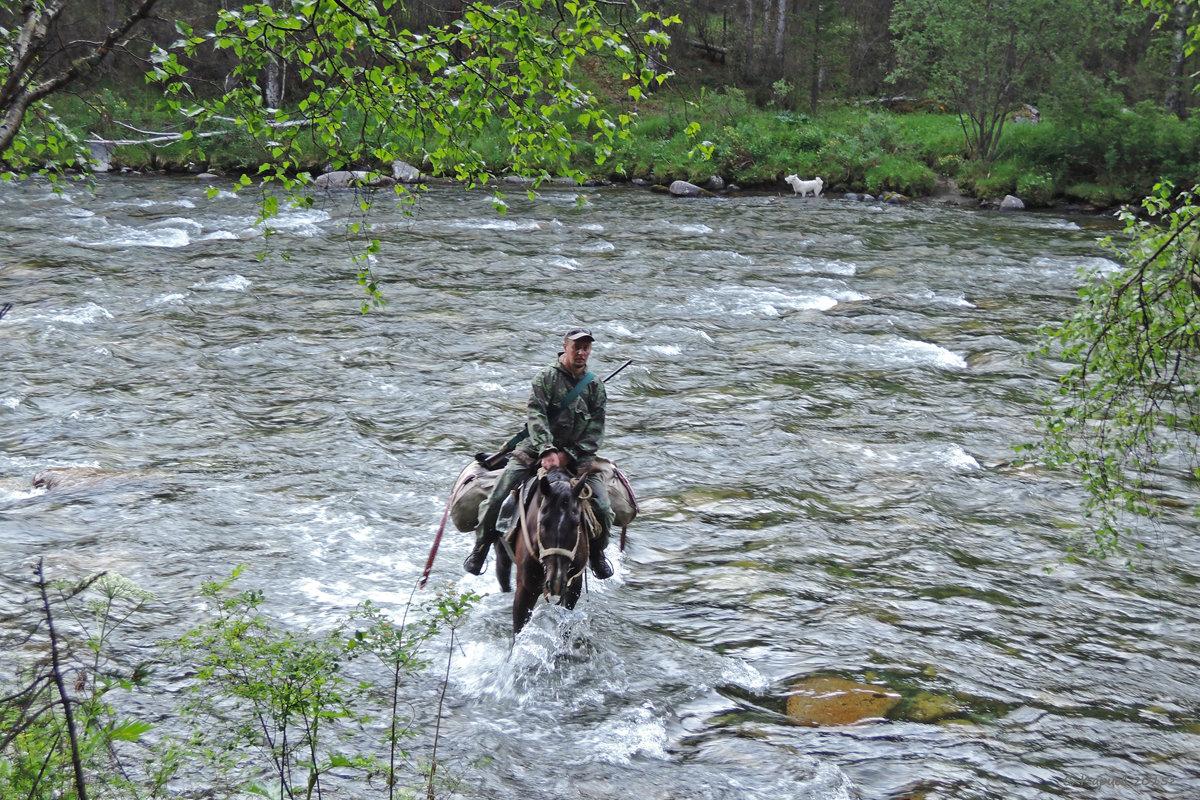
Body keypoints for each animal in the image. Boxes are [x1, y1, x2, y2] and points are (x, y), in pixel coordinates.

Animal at [492, 465, 590, 633]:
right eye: (543, 522)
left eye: (576, 523)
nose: (556, 581)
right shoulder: (525, 590)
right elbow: (518, 630)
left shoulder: (573, 588)